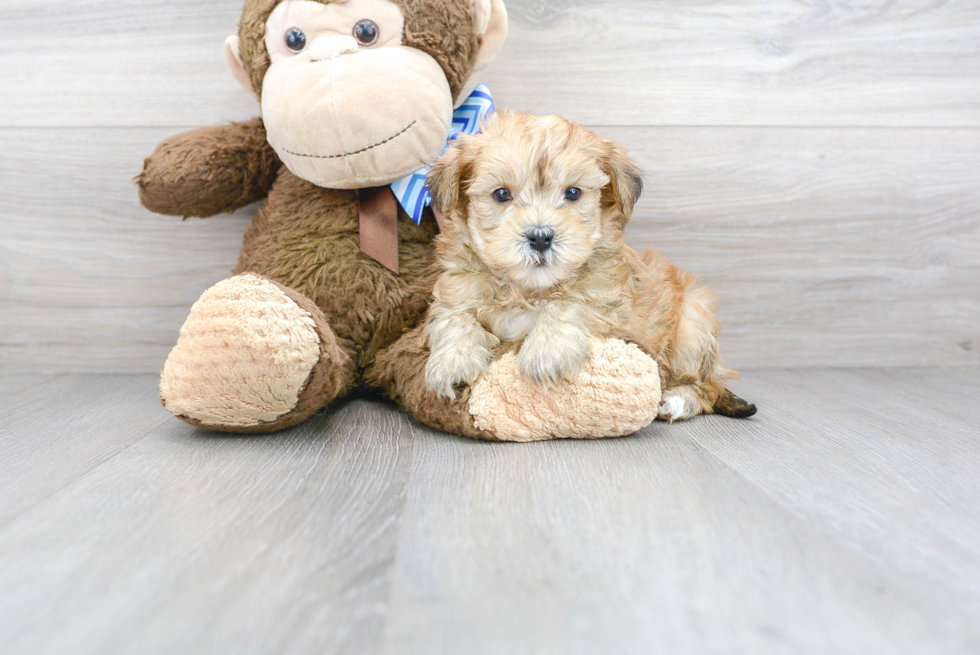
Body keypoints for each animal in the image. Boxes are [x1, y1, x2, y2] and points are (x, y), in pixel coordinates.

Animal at [424, 111, 756, 422]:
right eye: (502, 194)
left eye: (573, 193)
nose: (541, 237)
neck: (530, 290)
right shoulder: (456, 292)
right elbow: (456, 318)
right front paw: (452, 361)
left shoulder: (611, 306)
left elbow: (571, 305)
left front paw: (546, 351)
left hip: (694, 322)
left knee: (706, 386)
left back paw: (677, 400)